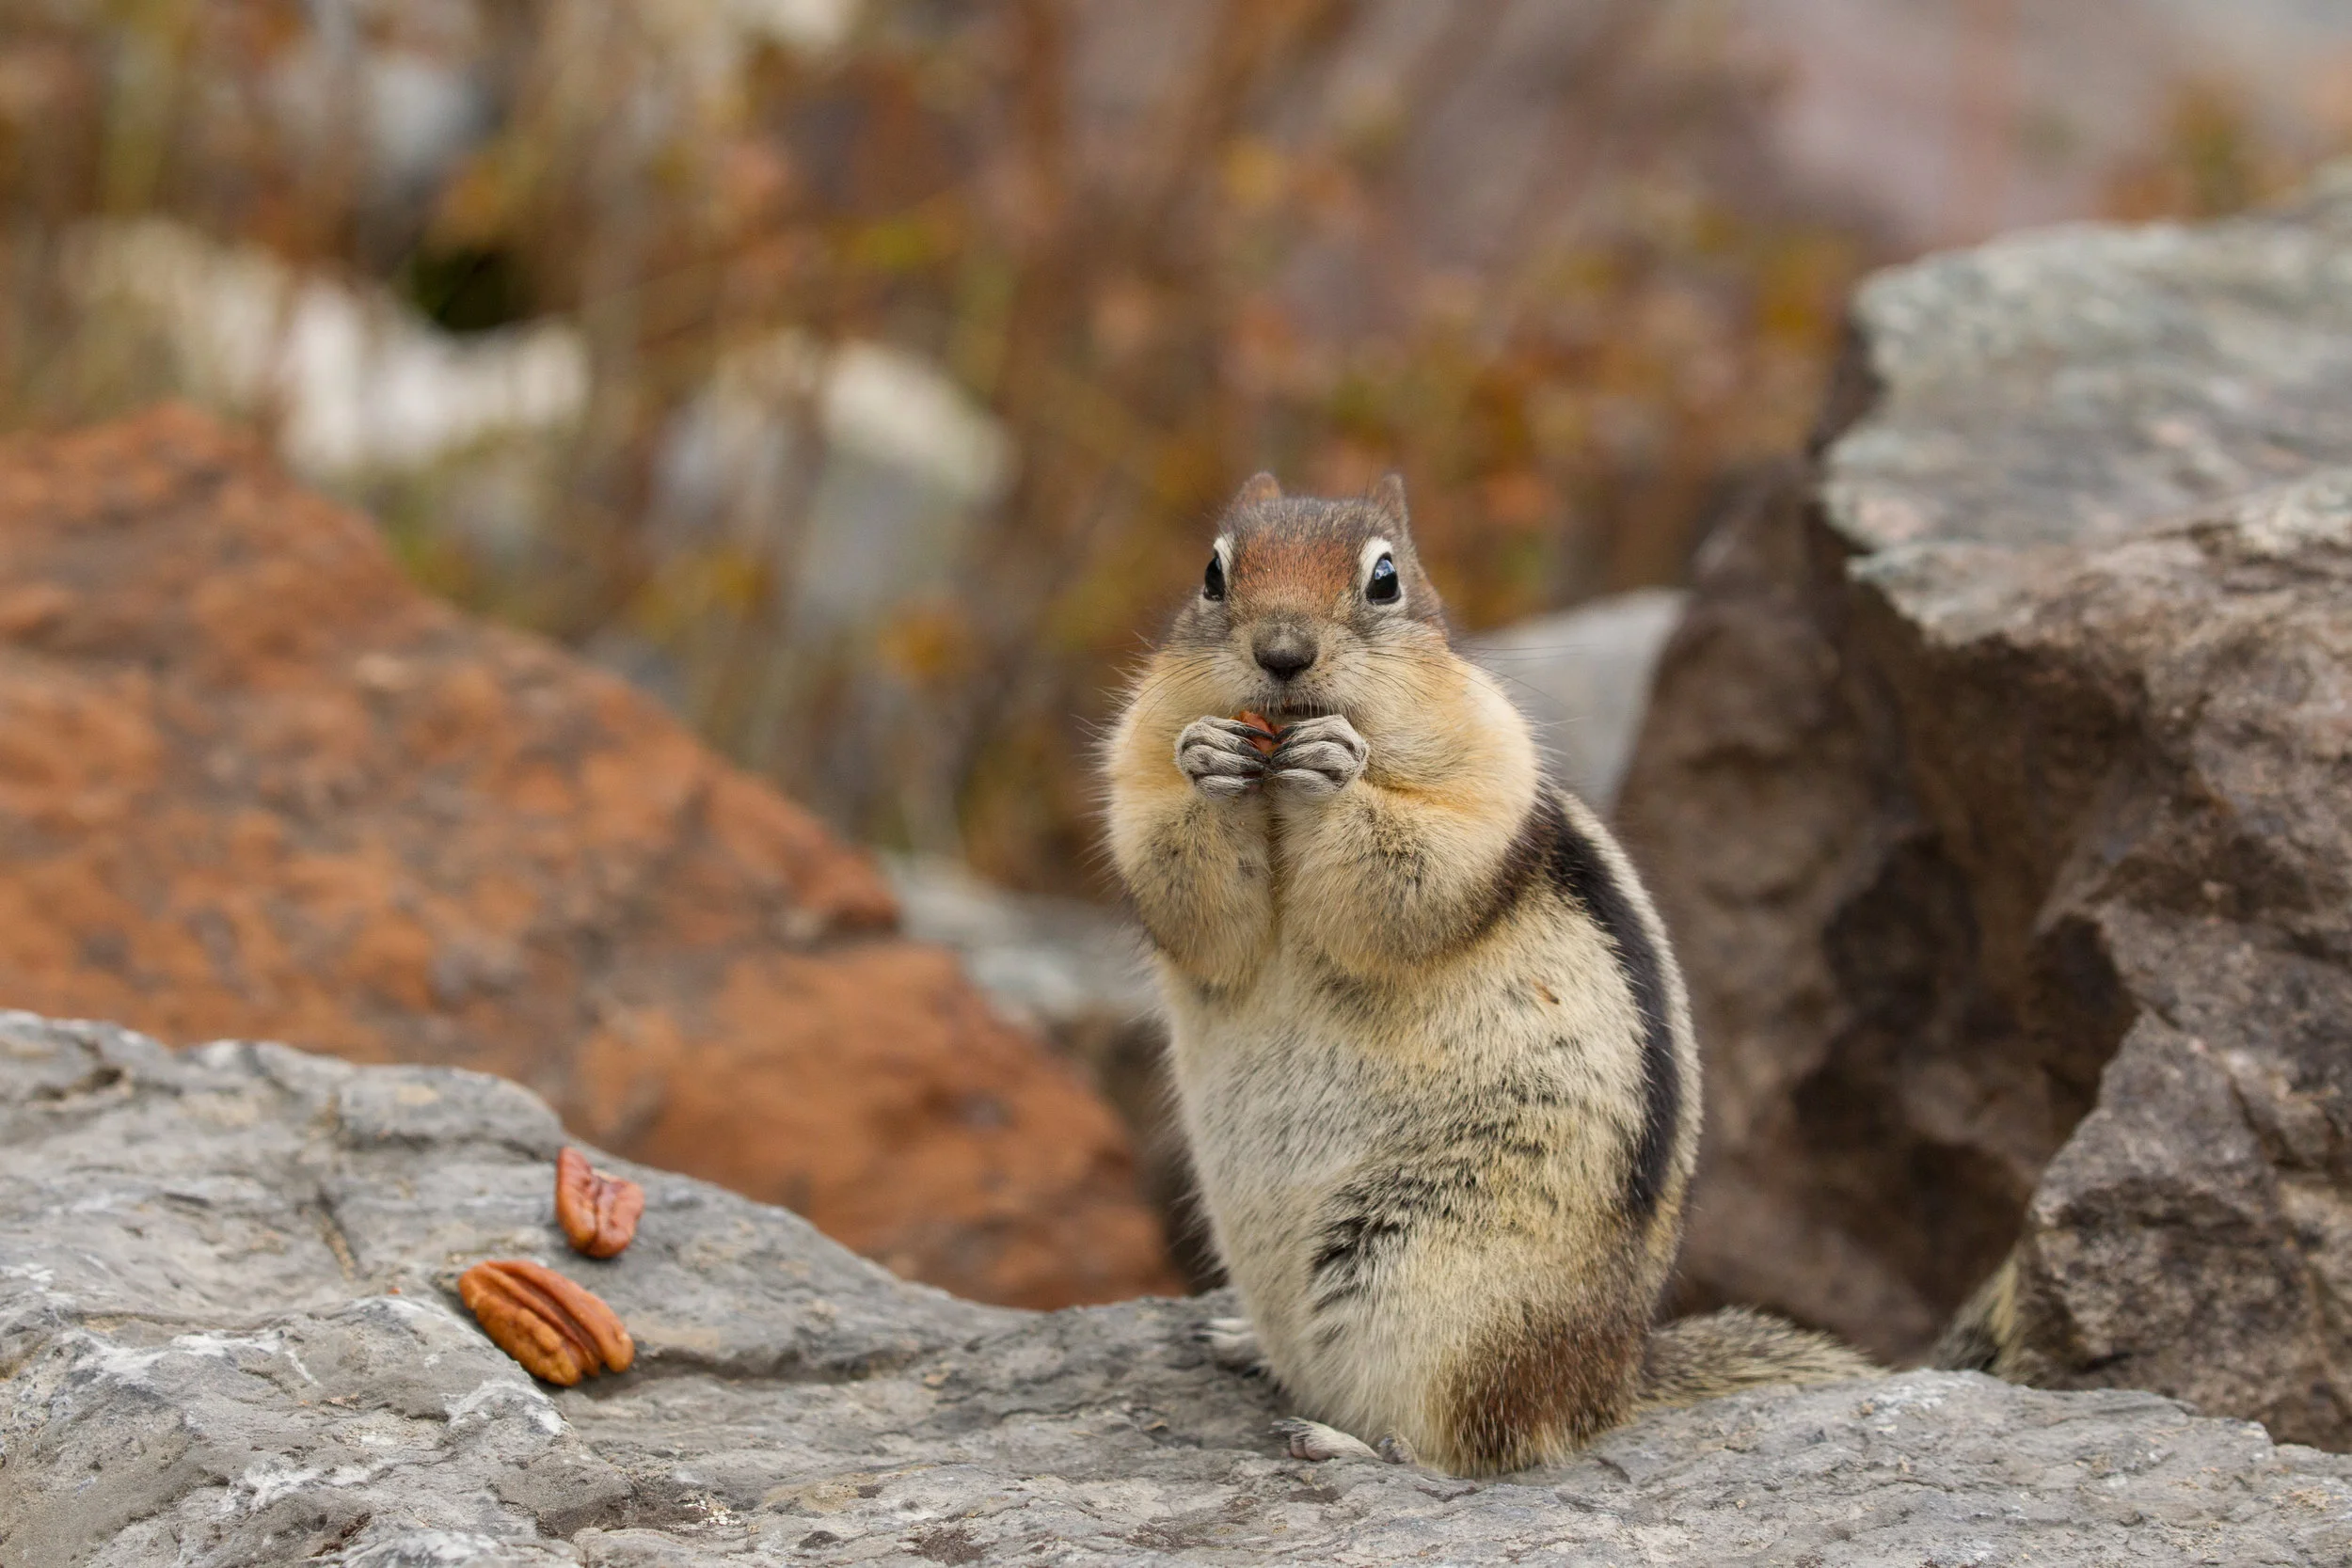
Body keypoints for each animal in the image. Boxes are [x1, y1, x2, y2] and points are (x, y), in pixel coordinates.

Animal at [1101, 473, 1872, 1476]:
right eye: (1212, 573)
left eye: (1385, 578)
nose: (1282, 653)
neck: (1274, 795)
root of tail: (1610, 1383)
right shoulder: (1136, 768)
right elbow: (1188, 890)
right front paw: (1207, 759)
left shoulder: (1485, 781)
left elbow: (1409, 870)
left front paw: (1339, 770)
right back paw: (1242, 1344)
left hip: (1426, 1281)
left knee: (1462, 1447)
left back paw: (1337, 1440)